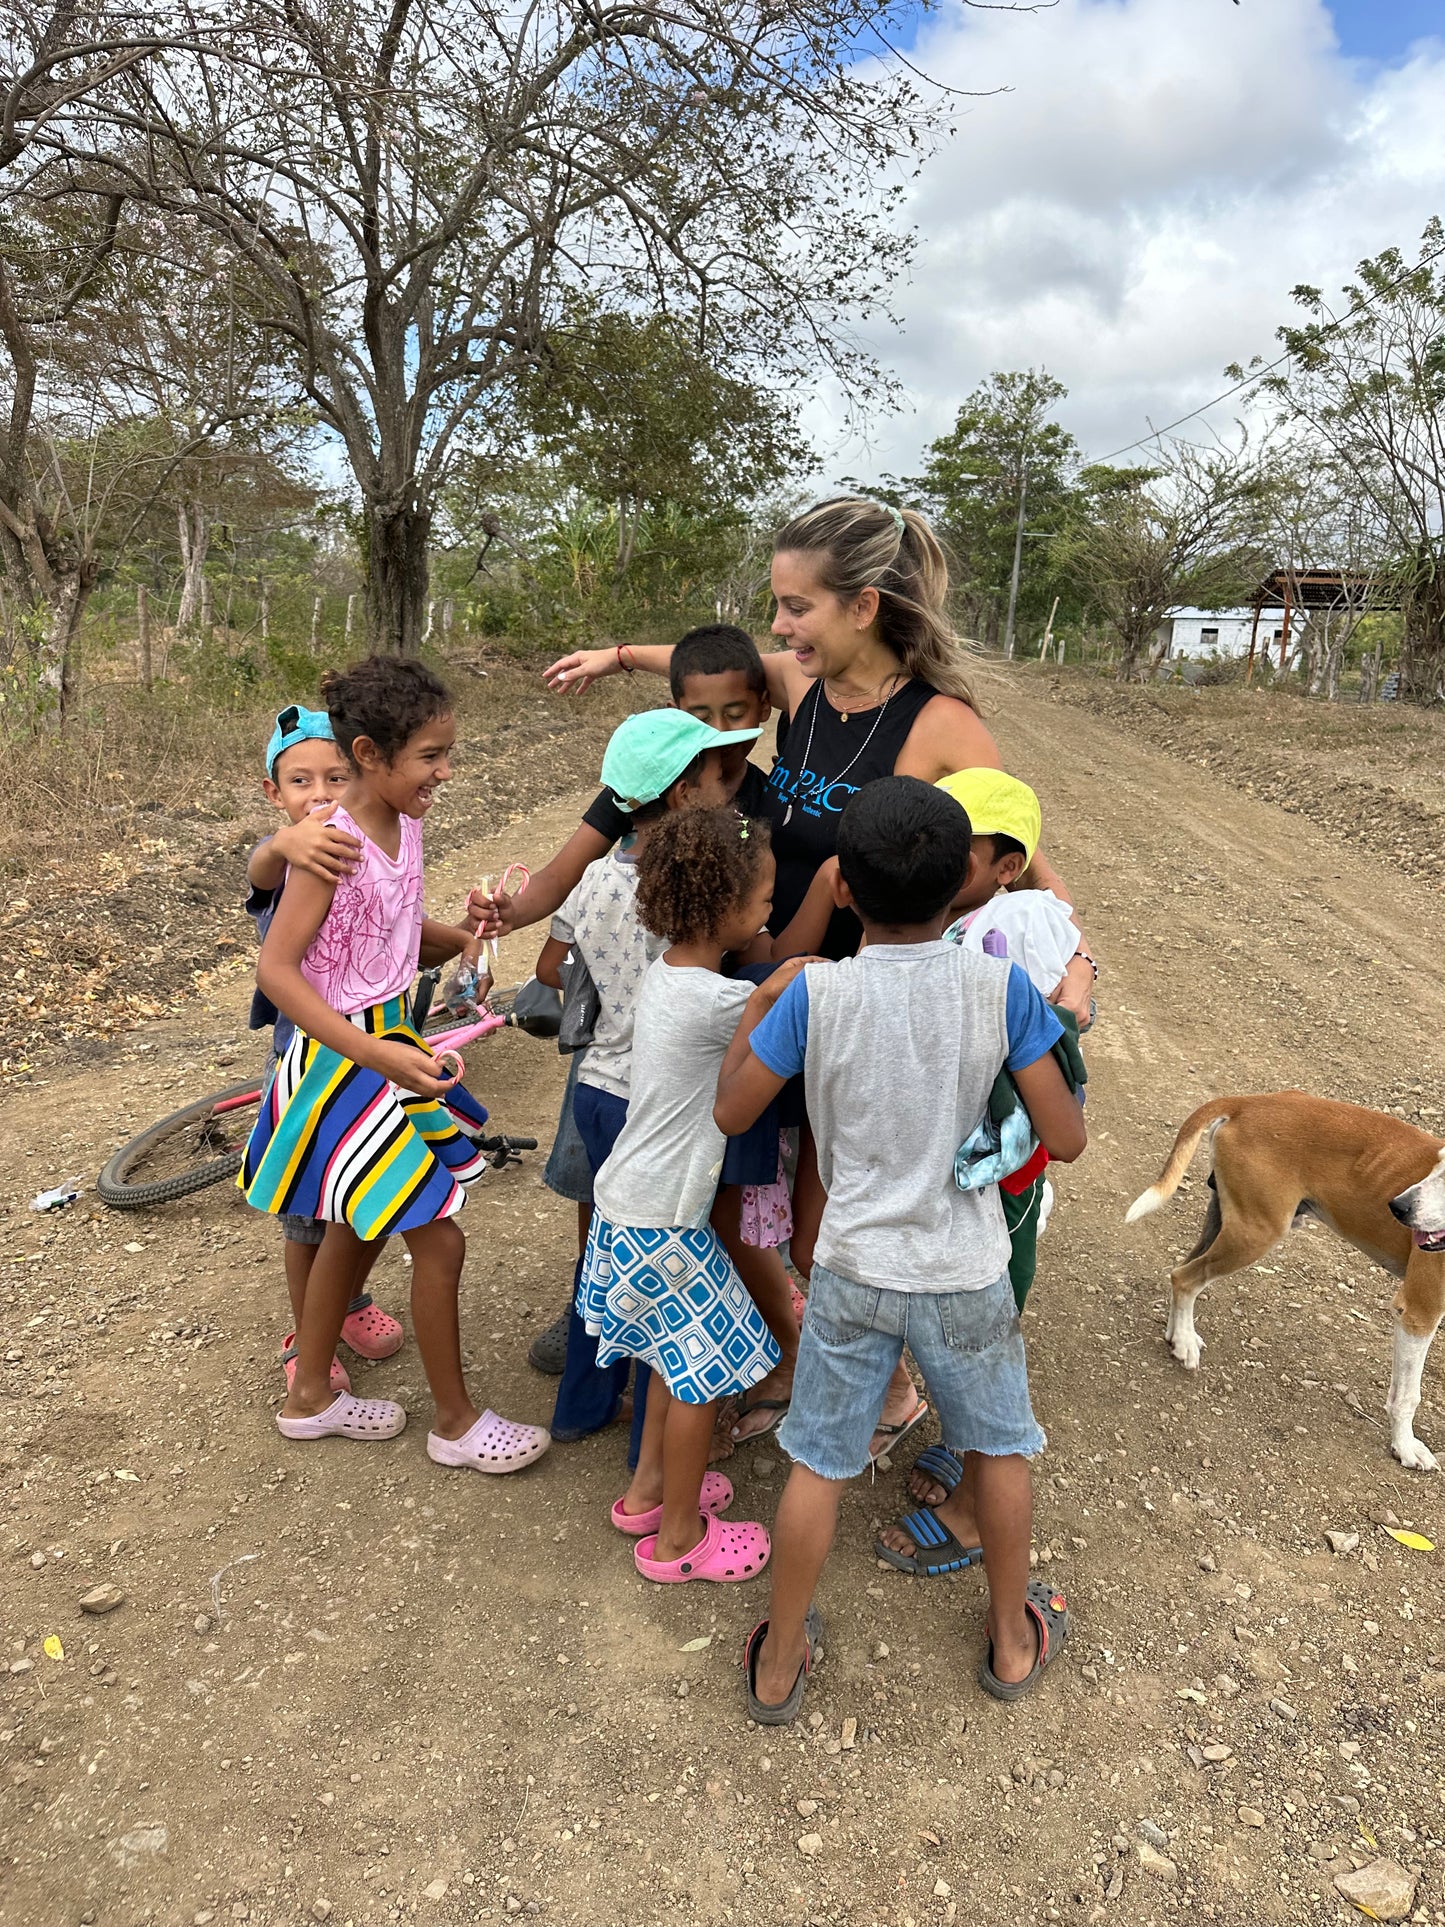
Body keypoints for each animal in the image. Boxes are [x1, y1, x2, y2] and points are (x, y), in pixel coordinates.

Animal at [1132, 1102, 1445, 1472]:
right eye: (1439, 1164)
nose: (1398, 1207)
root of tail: (1247, 1101)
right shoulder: (1419, 1311)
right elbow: (1408, 1395)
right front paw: (1405, 1446)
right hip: (1254, 1233)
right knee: (1185, 1278)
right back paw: (1183, 1342)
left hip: (1226, 1224)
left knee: (1180, 1270)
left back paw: (1178, 1335)